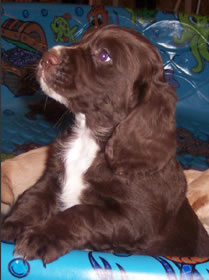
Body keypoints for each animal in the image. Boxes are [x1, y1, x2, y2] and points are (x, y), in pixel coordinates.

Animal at [2, 24, 209, 262]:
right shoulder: (52, 179)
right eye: (82, 39)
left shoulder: (134, 219)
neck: (89, 139)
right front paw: (11, 226)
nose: (47, 57)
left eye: (104, 55)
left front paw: (41, 237)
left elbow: (81, 213)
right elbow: (32, 198)